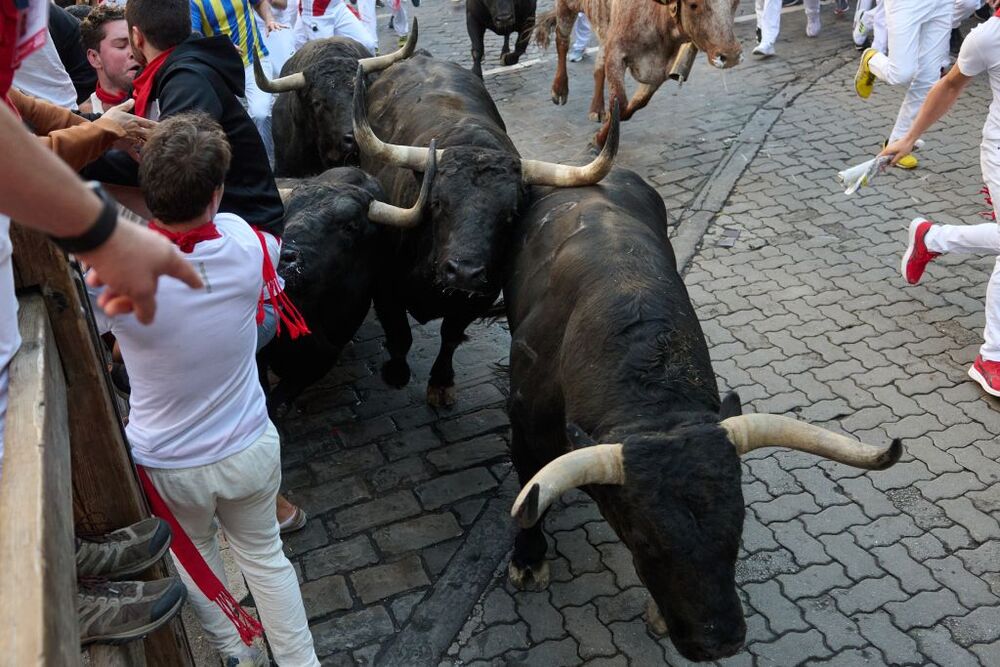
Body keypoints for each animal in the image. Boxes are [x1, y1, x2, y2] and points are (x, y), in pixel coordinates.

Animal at [504, 168, 904, 664]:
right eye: (643, 540)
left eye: (738, 525)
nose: (719, 641)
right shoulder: (524, 429)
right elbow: (528, 492)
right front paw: (528, 559)